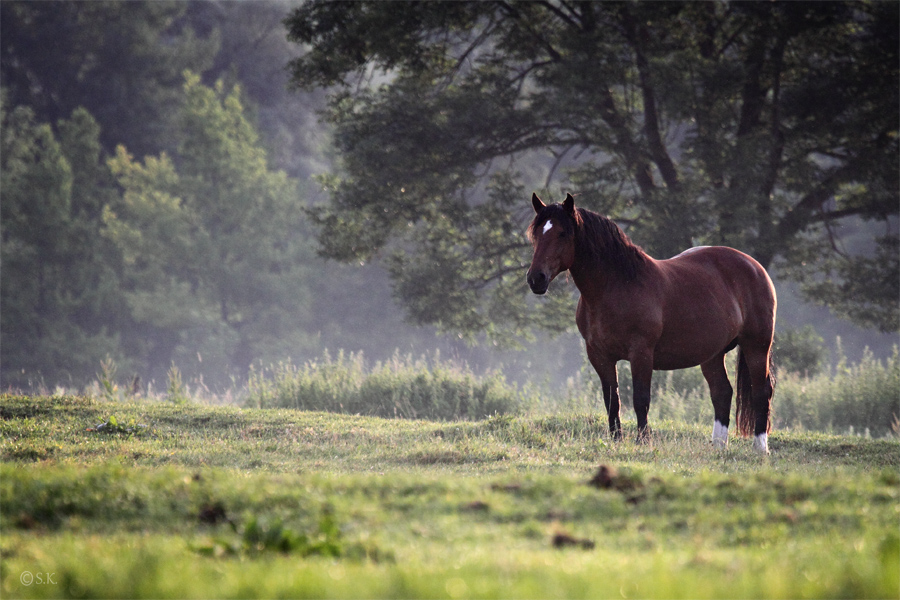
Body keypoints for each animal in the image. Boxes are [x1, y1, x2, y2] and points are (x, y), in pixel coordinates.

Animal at [528, 195, 772, 452]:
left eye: (563, 233)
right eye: (536, 234)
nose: (536, 279)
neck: (617, 286)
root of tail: (754, 266)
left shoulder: (641, 352)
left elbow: (641, 398)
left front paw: (643, 440)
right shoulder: (599, 355)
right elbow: (612, 400)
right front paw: (616, 439)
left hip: (756, 346)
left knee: (761, 392)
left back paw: (760, 448)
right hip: (712, 354)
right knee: (722, 393)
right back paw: (718, 446)